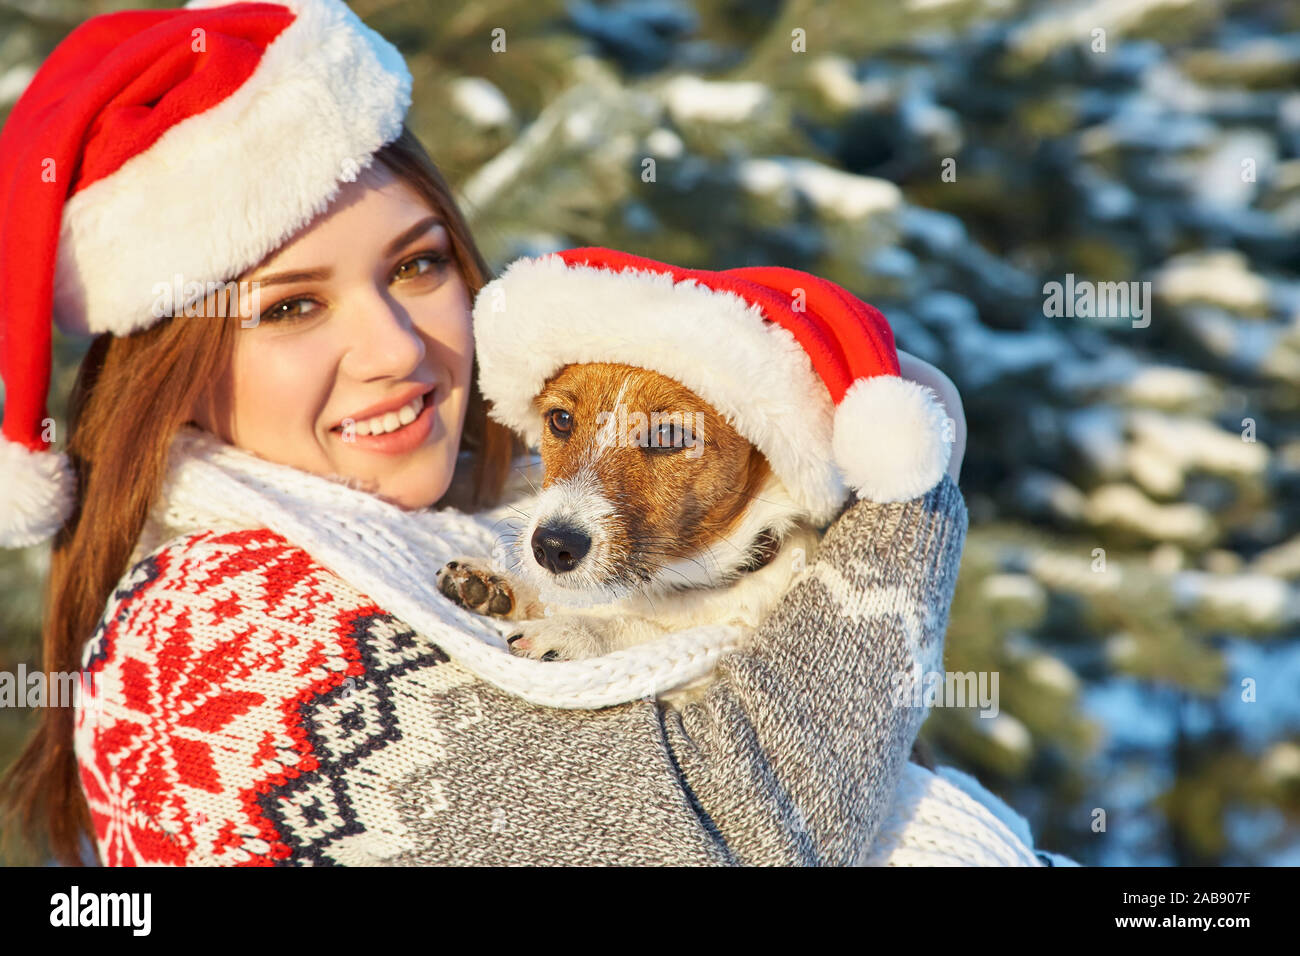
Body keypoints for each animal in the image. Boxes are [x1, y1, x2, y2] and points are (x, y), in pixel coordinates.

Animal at [436, 358, 821, 681]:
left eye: (668, 434)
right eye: (561, 419)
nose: (552, 546)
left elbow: (651, 632)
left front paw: (574, 631)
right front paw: (497, 582)